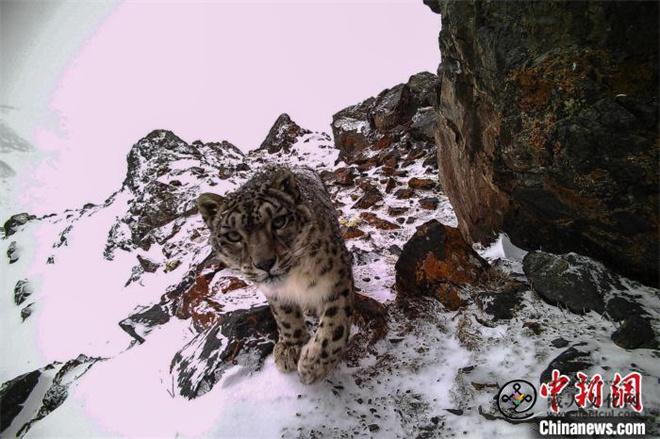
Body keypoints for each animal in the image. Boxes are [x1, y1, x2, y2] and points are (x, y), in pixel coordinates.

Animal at [196, 165, 354, 384]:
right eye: (233, 236)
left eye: (279, 221)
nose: (265, 263)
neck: (296, 279)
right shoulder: (275, 293)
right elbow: (285, 316)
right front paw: (290, 347)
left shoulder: (336, 278)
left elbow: (335, 324)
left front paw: (312, 365)